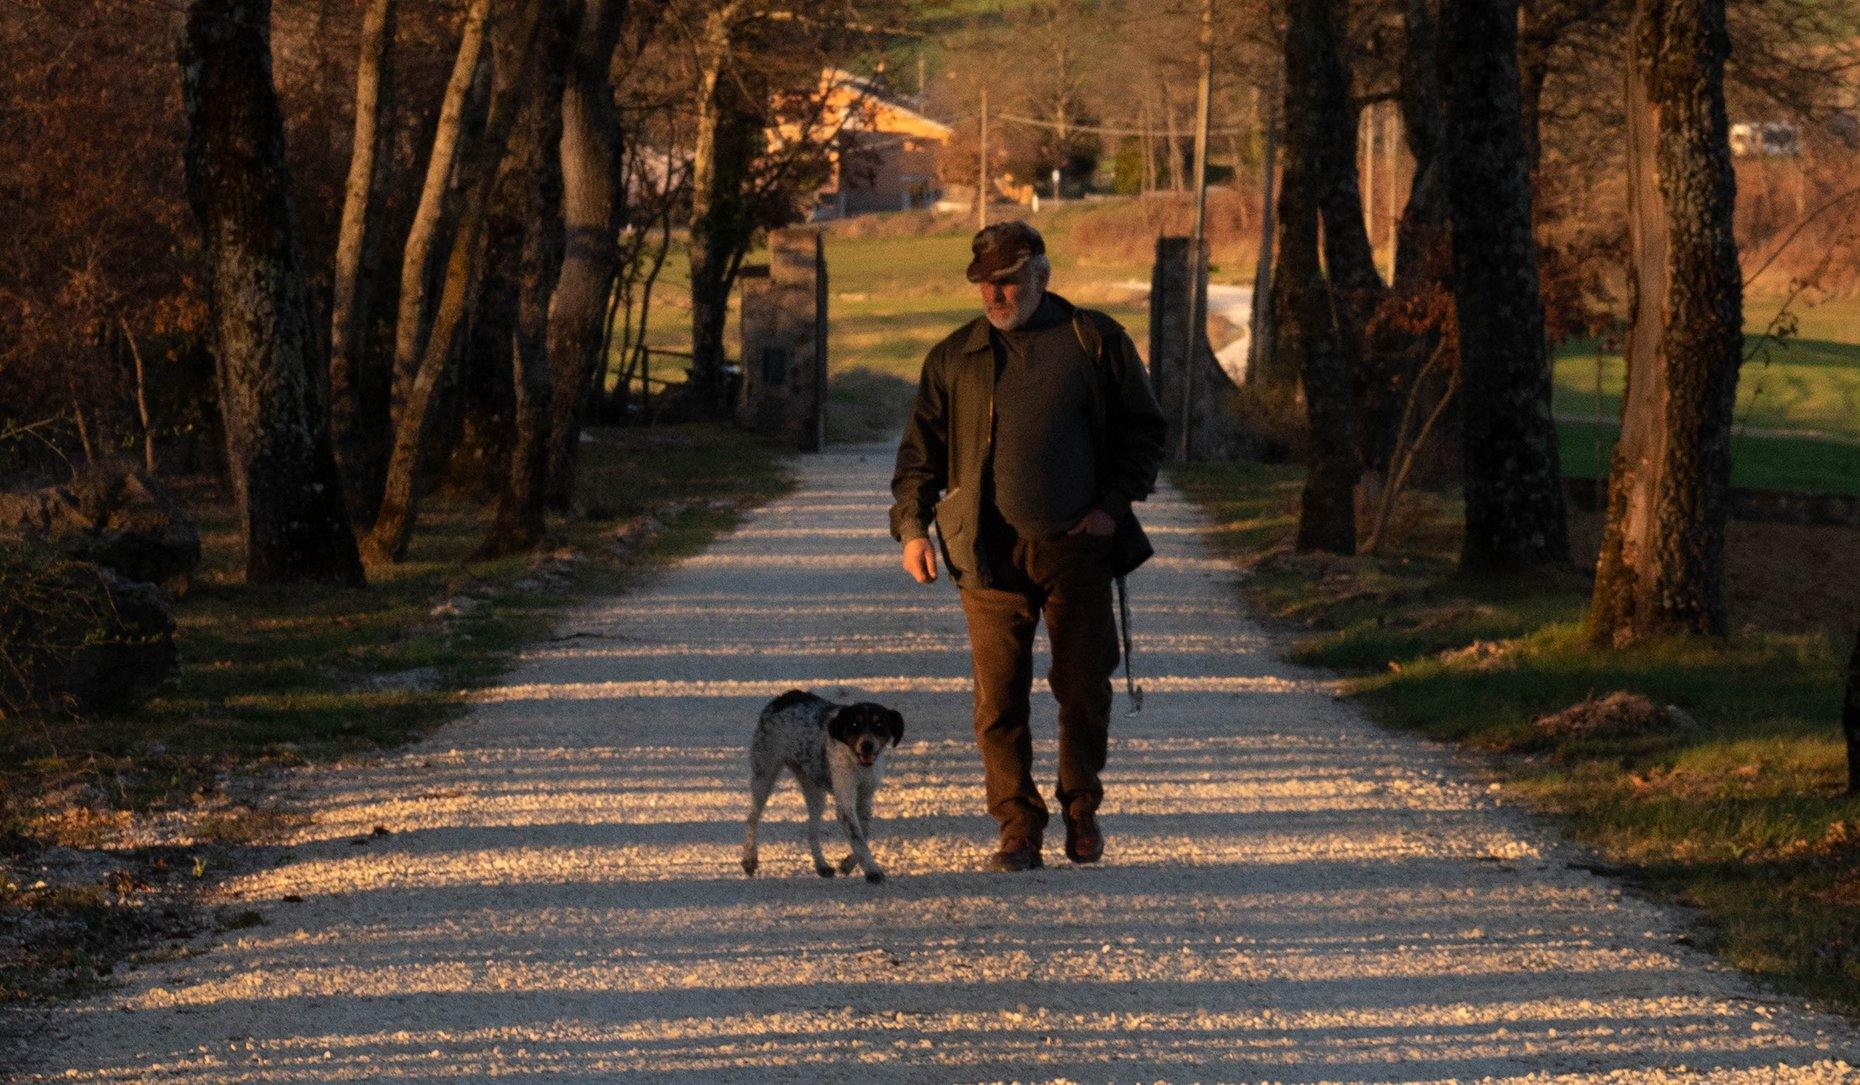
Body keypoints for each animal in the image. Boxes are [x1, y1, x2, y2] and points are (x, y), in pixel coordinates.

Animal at [747, 692, 907, 885]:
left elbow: (864, 833)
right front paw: (872, 870)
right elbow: (857, 837)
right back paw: (749, 859)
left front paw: (848, 863)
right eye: (854, 724)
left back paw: (821, 865)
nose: (867, 745)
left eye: (879, 724)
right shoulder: (845, 802)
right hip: (764, 776)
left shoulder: (865, 799)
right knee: (752, 818)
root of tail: (785, 697)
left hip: (815, 792)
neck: (858, 763)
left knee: (812, 831)